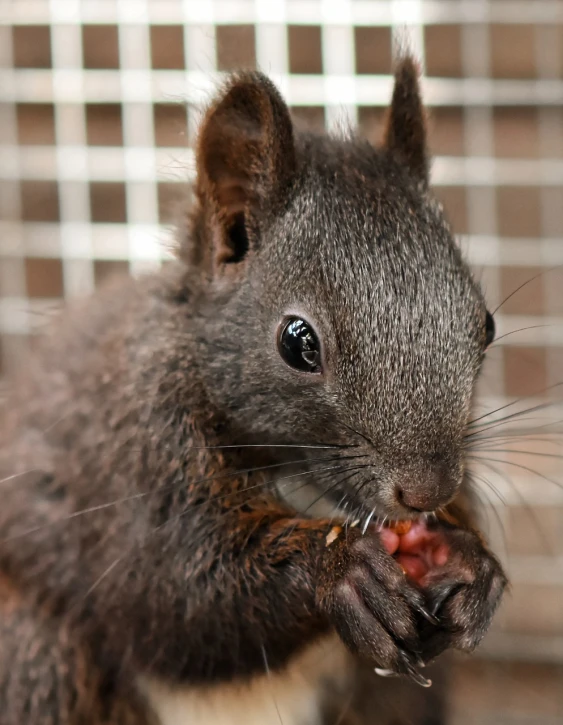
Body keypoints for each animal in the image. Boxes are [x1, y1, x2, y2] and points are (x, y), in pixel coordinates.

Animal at [0, 58, 506, 724]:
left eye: (486, 325)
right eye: (298, 342)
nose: (428, 491)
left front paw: (475, 565)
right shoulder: (131, 460)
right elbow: (176, 600)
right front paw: (339, 570)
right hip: (38, 655)